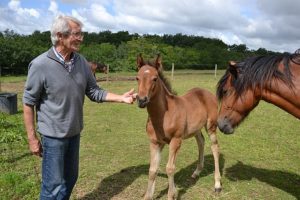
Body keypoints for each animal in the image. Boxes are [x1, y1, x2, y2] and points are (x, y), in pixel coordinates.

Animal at [135, 54, 220, 200]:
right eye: (137, 78)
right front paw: (148, 195)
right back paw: (196, 172)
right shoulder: (155, 142)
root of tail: (205, 92)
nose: (141, 100)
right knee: (201, 141)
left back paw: (217, 185)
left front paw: (172, 194)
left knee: (214, 147)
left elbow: (170, 168)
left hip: (211, 126)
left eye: (155, 78)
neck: (164, 116)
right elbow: (152, 169)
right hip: (195, 129)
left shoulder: (176, 140)